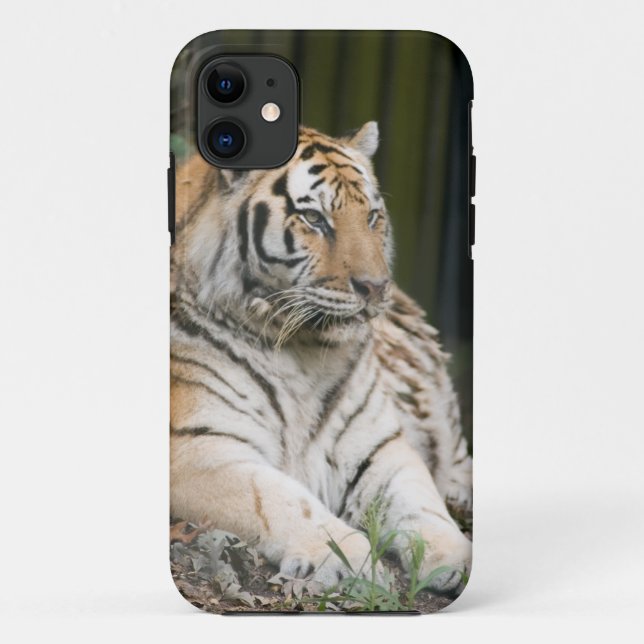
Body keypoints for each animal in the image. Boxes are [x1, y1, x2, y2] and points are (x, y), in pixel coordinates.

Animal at [170, 121, 472, 596]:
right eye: (314, 219)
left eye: (372, 216)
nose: (376, 287)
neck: (303, 352)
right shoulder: (199, 447)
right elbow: (279, 500)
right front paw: (349, 559)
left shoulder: (381, 447)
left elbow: (422, 501)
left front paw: (454, 555)